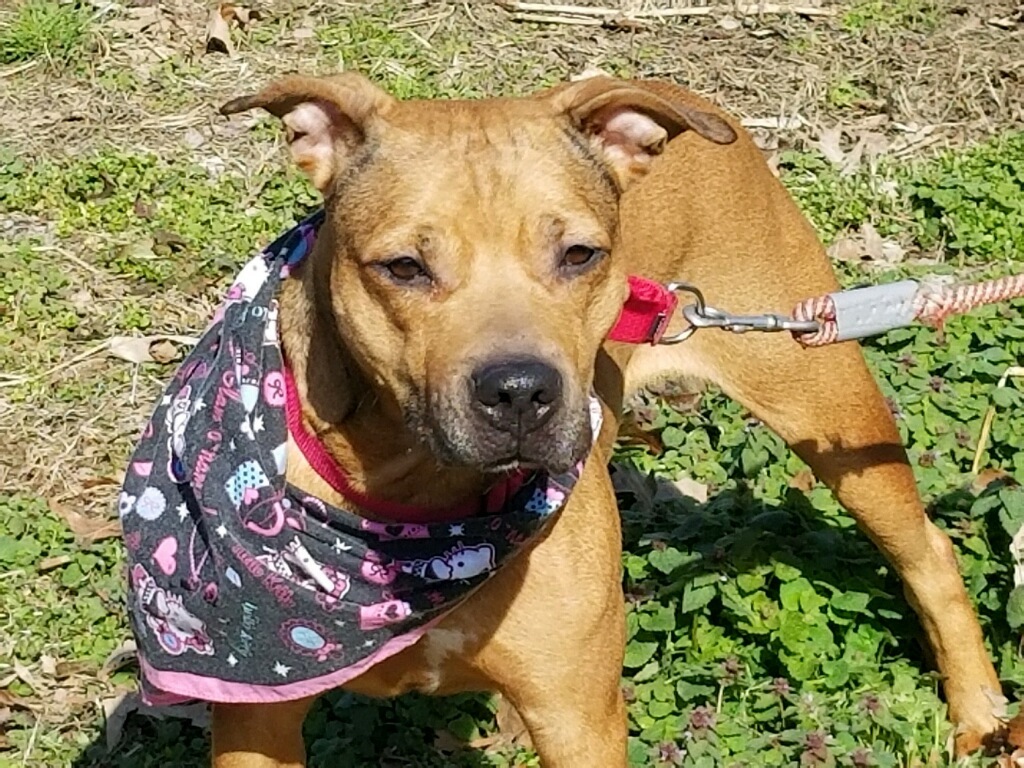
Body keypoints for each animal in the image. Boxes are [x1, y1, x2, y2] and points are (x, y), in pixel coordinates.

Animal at [125, 70, 999, 765]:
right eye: (404, 267)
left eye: (580, 255)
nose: (519, 391)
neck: (415, 502)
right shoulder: (255, 727)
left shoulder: (581, 722)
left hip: (825, 398)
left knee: (928, 552)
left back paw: (983, 715)